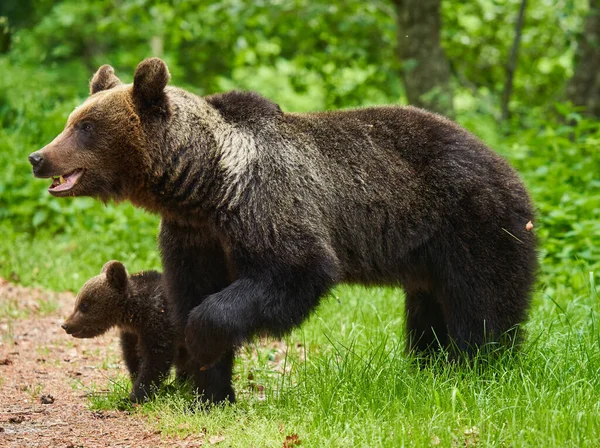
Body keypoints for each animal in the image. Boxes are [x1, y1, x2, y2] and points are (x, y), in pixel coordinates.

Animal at [28, 56, 536, 402]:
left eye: (86, 126)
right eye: (72, 121)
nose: (38, 157)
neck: (205, 185)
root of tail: (511, 168)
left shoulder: (266, 205)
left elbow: (292, 271)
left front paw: (199, 345)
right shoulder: (193, 236)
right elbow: (190, 291)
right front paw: (209, 392)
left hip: (474, 223)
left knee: (483, 304)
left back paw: (479, 369)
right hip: (426, 253)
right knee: (427, 311)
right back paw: (429, 366)